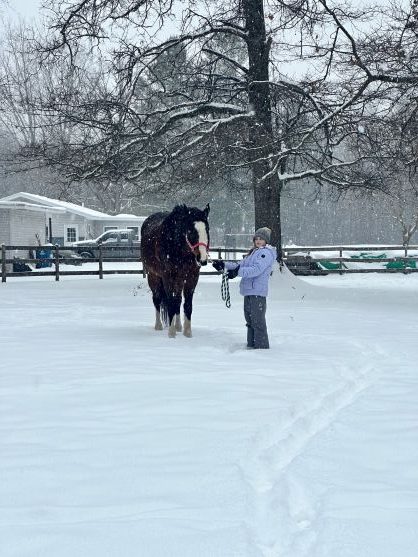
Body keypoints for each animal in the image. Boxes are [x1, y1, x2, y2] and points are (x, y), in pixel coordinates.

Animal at [140, 203, 211, 336]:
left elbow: (187, 305)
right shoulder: (168, 277)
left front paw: (187, 333)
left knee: (178, 300)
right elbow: (170, 303)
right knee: (157, 299)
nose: (203, 259)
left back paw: (178, 326)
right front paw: (171, 334)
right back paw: (159, 326)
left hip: (179, 279)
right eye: (191, 231)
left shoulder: (192, 277)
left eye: (207, 229)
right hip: (153, 276)